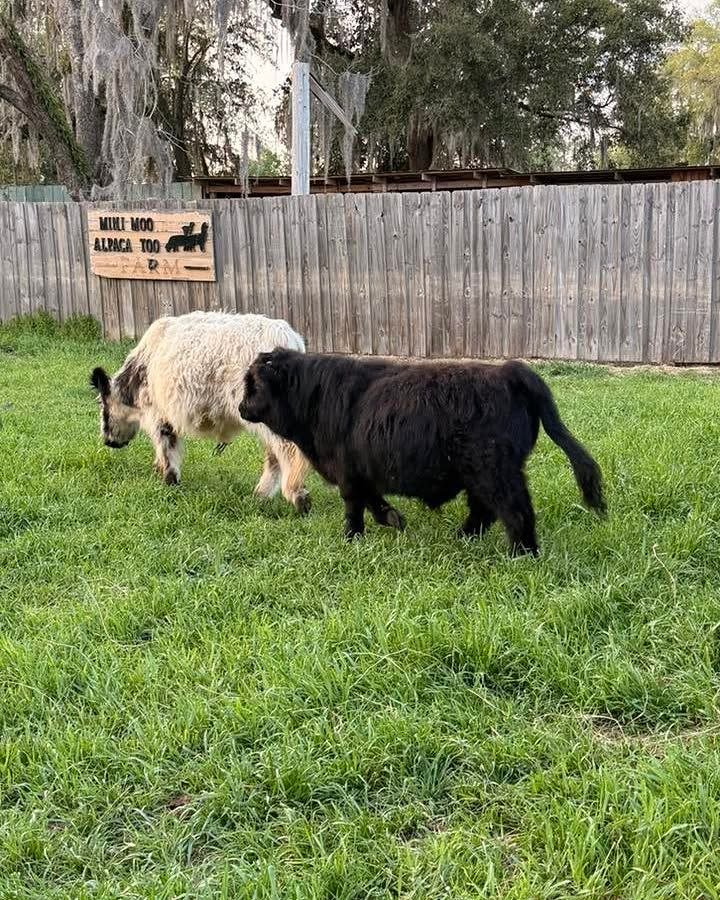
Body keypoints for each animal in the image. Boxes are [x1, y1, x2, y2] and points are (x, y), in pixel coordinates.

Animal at [90, 312, 311, 514]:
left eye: (102, 405)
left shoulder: (158, 416)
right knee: (276, 455)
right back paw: (260, 496)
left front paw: (170, 481)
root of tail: (289, 338)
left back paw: (297, 496)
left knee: (288, 451)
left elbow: (167, 448)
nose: (108, 441)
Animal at [238, 350, 605, 554]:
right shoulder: (360, 471)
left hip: (493, 470)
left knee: (515, 511)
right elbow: (372, 500)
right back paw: (463, 537)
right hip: (480, 472)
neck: (316, 397)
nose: (240, 407)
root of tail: (509, 370)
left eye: (254, 385)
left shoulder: (347, 471)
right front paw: (392, 518)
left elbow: (354, 507)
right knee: (483, 511)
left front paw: (352, 538)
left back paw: (521, 554)